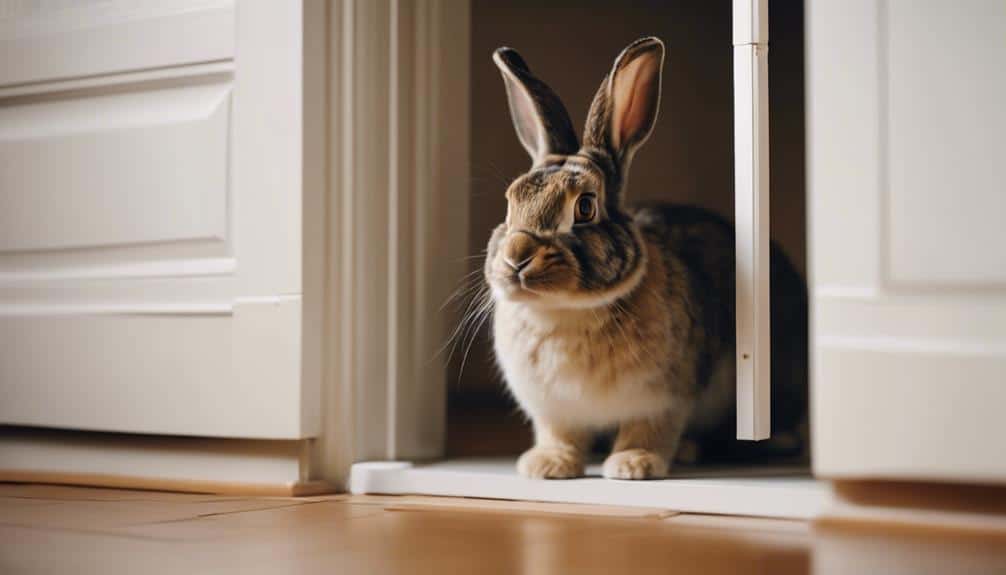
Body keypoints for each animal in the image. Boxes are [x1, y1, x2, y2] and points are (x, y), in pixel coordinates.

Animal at [483, 37, 808, 480]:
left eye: (585, 207)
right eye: (510, 203)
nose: (517, 258)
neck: (564, 312)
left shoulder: (663, 400)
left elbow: (647, 431)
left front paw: (633, 465)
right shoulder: (552, 410)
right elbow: (560, 435)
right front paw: (547, 466)